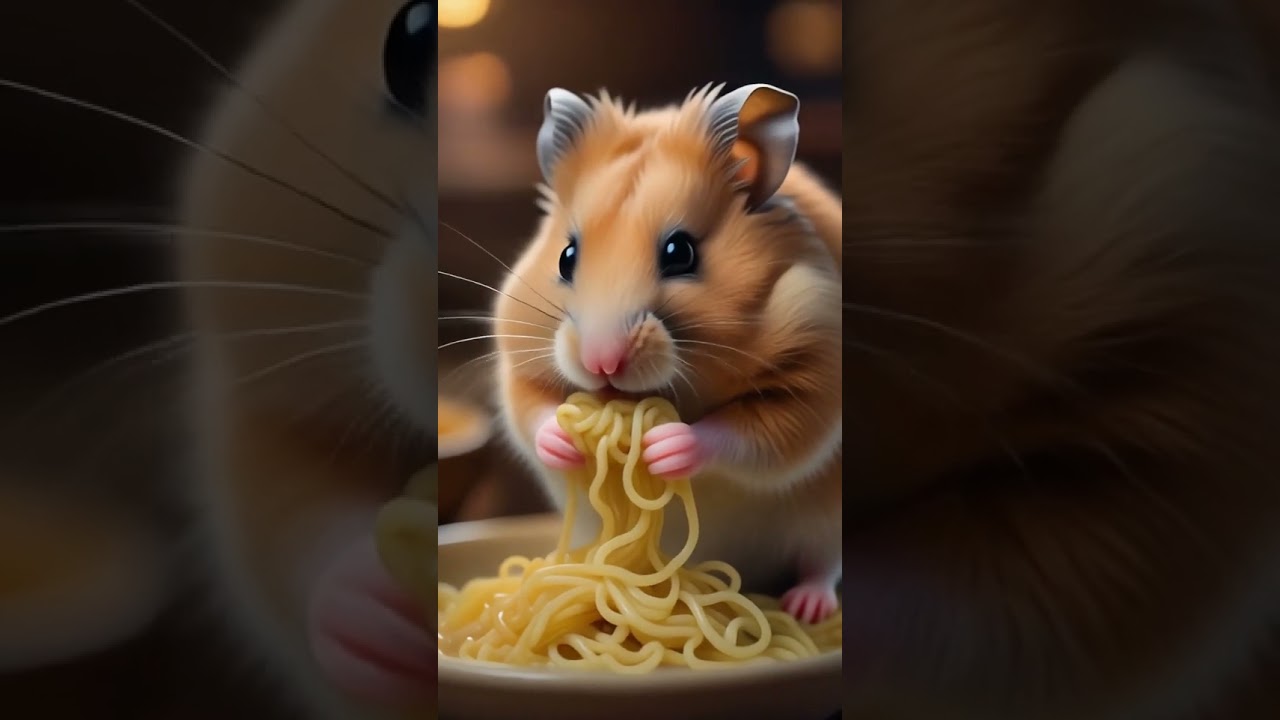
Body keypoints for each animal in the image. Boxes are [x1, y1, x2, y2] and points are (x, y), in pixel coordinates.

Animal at [491, 84, 844, 623]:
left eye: (681, 253)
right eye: (566, 257)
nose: (601, 364)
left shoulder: (815, 374)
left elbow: (758, 436)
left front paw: (664, 445)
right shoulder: (519, 360)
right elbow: (533, 412)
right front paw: (565, 441)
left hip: (827, 521)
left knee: (822, 564)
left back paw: (807, 607)